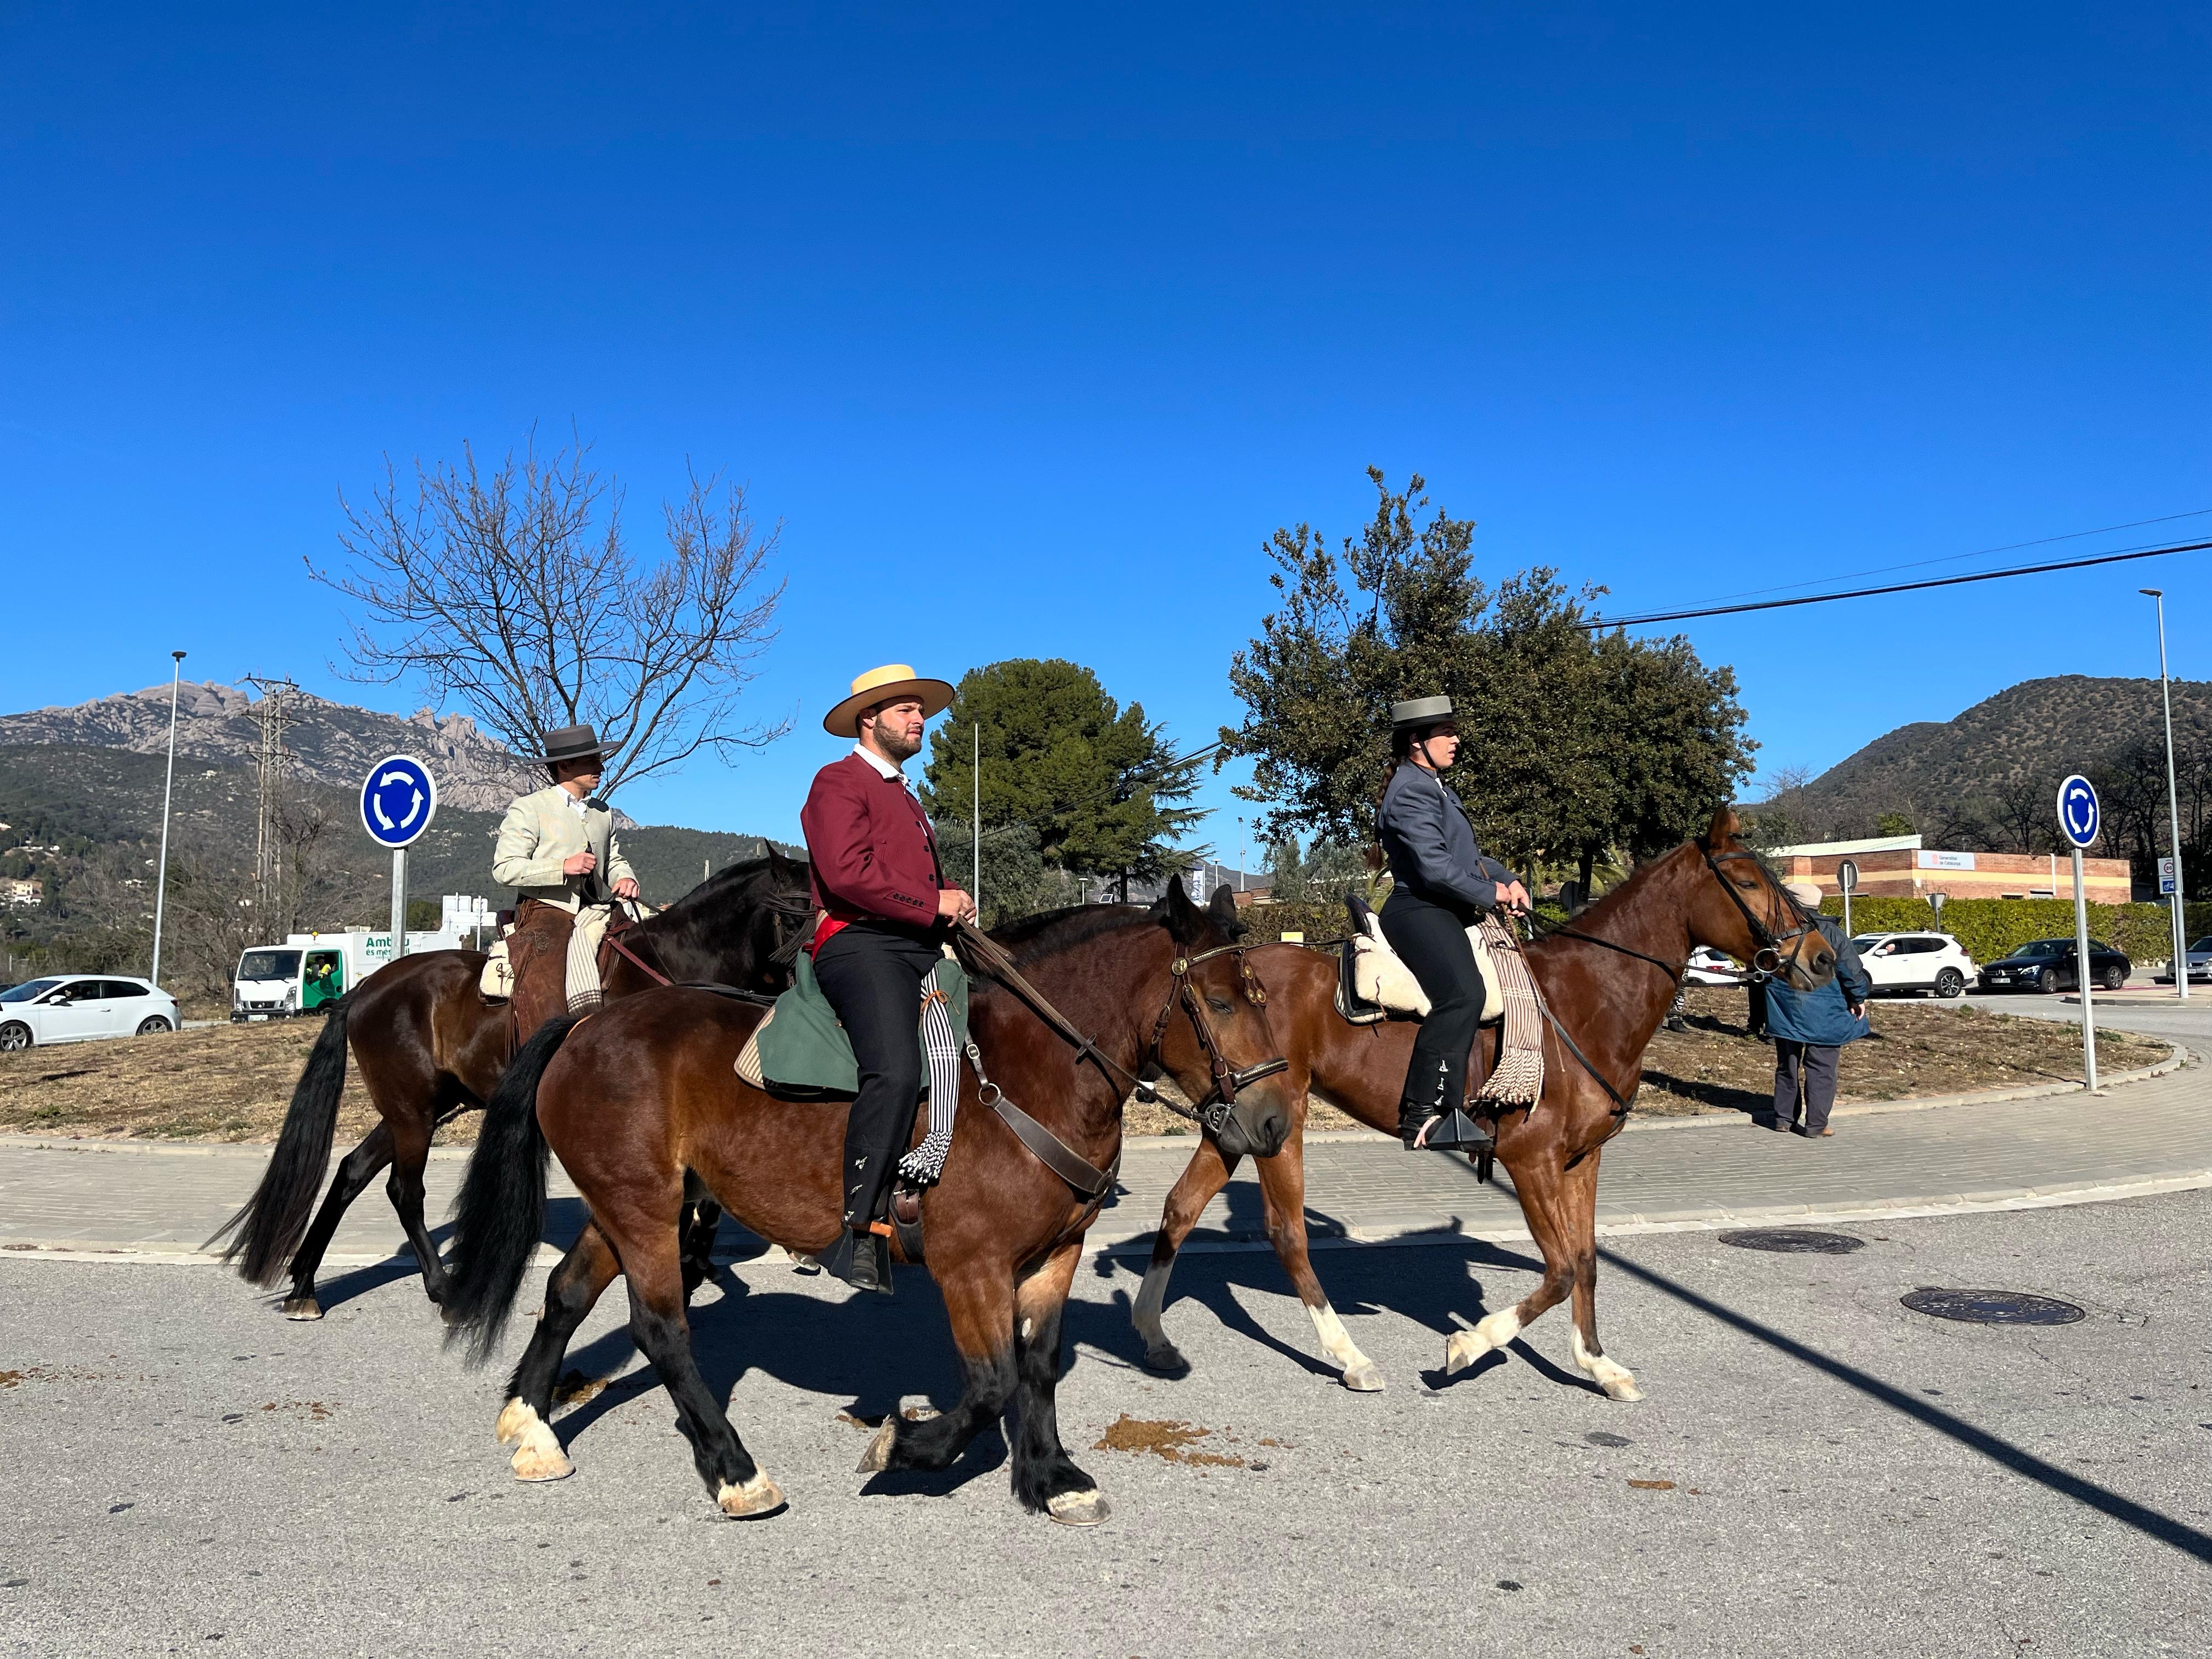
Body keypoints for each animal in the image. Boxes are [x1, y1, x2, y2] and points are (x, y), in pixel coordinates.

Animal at [211, 849, 818, 1318]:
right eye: (798, 914)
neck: (673, 974)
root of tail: (365, 988)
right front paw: (690, 1268)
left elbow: (710, 1202)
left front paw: (701, 1264)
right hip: (412, 1115)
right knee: (403, 1191)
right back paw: (443, 1288)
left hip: (418, 1109)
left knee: (351, 1173)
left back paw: (305, 1286)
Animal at [436, 884, 1291, 1531]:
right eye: (1219, 1002)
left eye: (1260, 996)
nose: (1275, 1122)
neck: (1028, 1072)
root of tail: (587, 1023)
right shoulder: (970, 1267)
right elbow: (991, 1385)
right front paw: (903, 1447)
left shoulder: (1056, 1255)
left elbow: (1039, 1369)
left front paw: (1052, 1477)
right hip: (645, 1212)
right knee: (661, 1330)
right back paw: (736, 1471)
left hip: (628, 1205)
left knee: (567, 1293)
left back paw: (533, 1424)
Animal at [1124, 814, 1831, 1407]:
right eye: (1747, 881)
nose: (1822, 957)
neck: (1584, 1000)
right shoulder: (1530, 1161)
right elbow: (1560, 1271)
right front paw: (1469, 1345)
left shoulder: (1582, 1161)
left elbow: (1587, 1261)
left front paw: (1597, 1364)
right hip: (1282, 1123)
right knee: (1286, 1231)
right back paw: (1350, 1358)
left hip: (1242, 1122)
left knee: (1182, 1207)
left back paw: (1151, 1332)